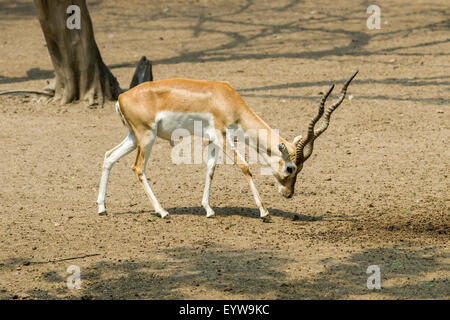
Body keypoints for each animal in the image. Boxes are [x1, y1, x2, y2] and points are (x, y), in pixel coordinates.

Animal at [96, 70, 356, 220]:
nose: (288, 194)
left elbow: (210, 170)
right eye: (290, 168)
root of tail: (122, 98)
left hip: (133, 138)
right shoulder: (223, 137)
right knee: (138, 168)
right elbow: (245, 167)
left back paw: (102, 208)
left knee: (108, 155)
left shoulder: (213, 140)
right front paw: (264, 212)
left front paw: (208, 209)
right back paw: (162, 211)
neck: (226, 100)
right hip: (146, 137)